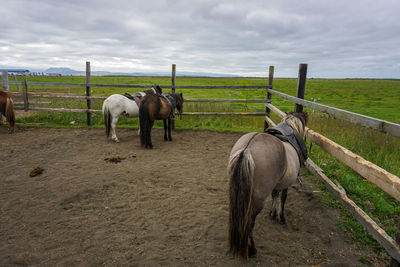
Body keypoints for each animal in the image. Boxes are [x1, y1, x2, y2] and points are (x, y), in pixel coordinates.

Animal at [227, 111, 308, 260]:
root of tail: (246, 150)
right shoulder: (286, 184)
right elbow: (283, 198)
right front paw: (281, 217)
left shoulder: (277, 184)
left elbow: (275, 195)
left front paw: (272, 213)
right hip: (257, 201)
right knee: (249, 223)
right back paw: (252, 249)